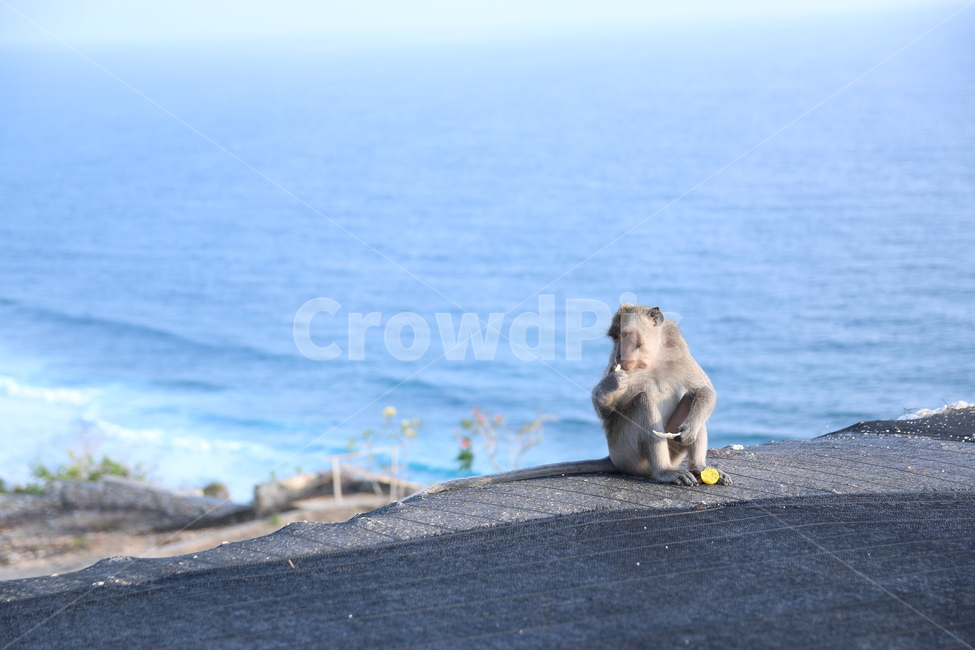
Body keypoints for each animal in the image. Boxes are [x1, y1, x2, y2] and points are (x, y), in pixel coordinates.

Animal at [404, 303, 729, 500]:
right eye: (614, 338)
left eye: (625, 335)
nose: (620, 355)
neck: (653, 360)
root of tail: (613, 458)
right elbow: (606, 410)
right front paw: (613, 384)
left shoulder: (679, 352)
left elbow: (705, 390)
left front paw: (691, 427)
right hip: (627, 452)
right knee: (644, 401)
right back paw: (664, 473)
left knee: (692, 399)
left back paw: (698, 466)